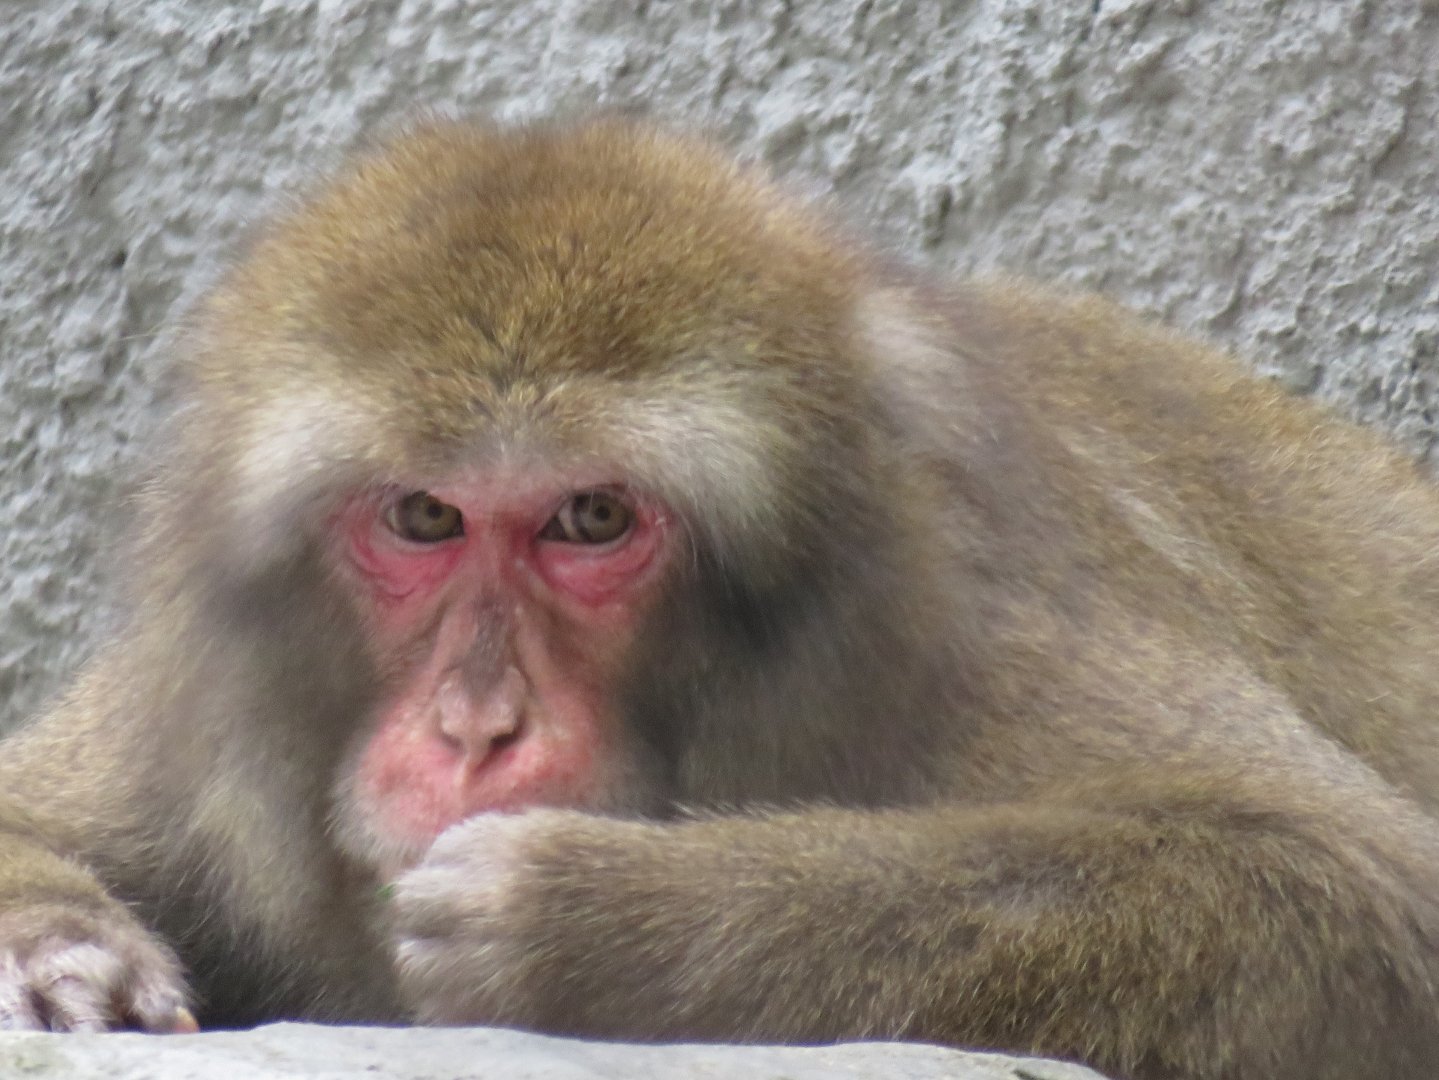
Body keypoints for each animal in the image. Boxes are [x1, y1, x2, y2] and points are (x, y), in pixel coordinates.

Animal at [2, 115, 1439, 1080]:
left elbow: (1345, 884)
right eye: (424, 517)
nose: (477, 728)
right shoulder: (192, 716)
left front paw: (585, 919)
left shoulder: (968, 633)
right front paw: (61, 950)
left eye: (591, 520)